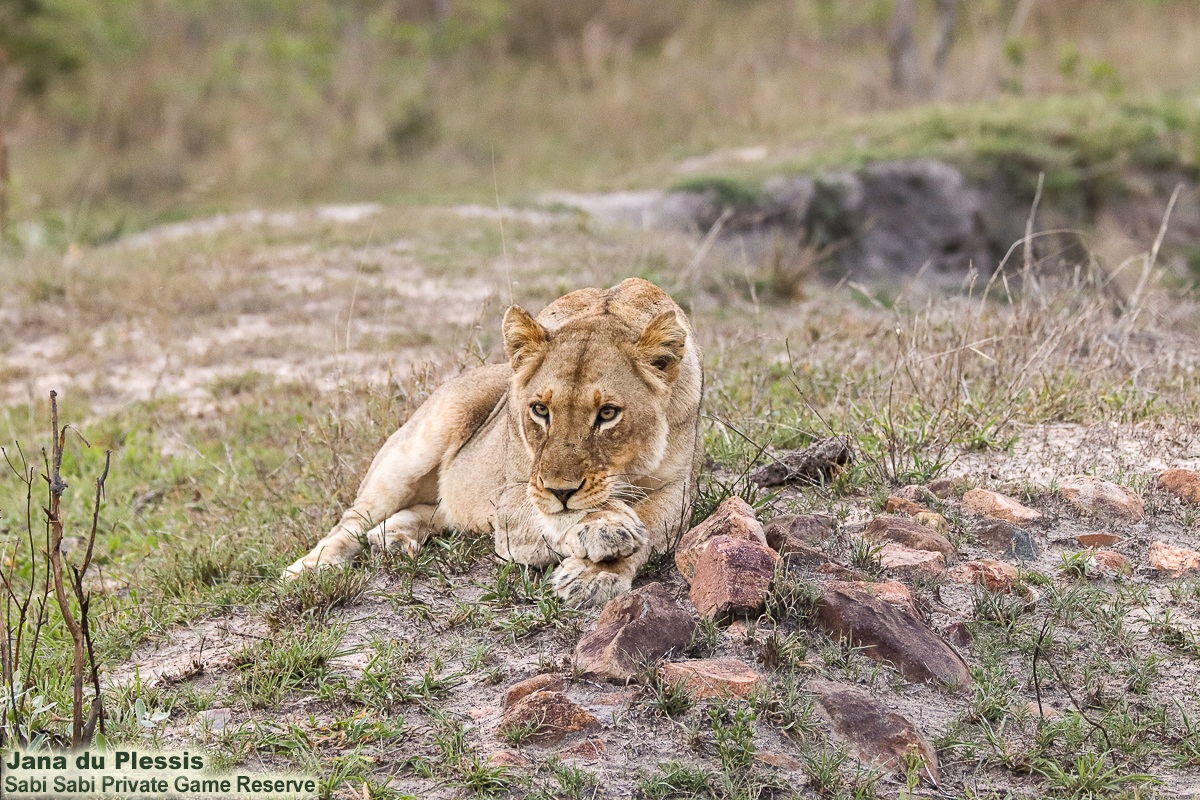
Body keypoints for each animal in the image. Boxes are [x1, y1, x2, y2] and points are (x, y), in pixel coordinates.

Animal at [284, 277, 703, 607]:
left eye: (608, 414)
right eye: (540, 410)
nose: (560, 490)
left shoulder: (678, 490)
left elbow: (649, 527)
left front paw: (594, 575)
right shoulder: (513, 494)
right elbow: (561, 515)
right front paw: (605, 527)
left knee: (440, 509)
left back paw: (394, 537)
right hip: (421, 441)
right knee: (351, 520)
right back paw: (307, 569)